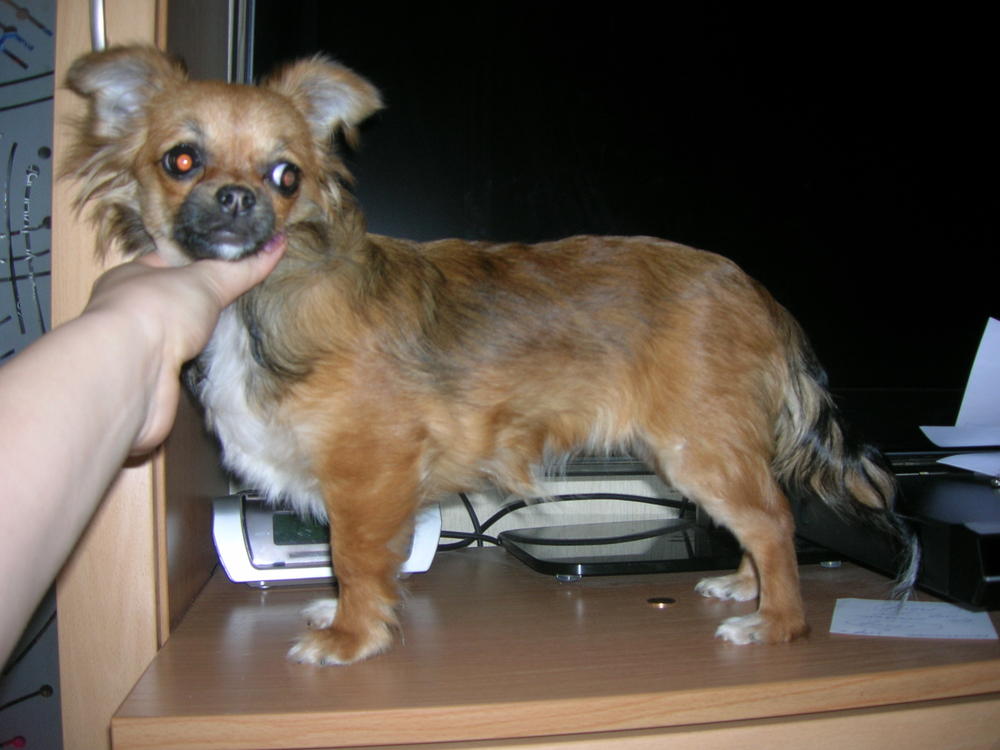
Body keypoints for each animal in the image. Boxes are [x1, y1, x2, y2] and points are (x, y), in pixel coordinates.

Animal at [64, 45, 916, 665]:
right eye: (181, 161)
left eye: (286, 177)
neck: (261, 299)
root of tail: (758, 292)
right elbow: (358, 562)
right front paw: (346, 613)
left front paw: (351, 636)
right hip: (699, 453)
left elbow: (355, 555)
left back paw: (777, 623)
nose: (240, 198)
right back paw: (747, 589)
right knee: (761, 523)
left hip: (697, 448)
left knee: (773, 520)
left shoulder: (367, 471)